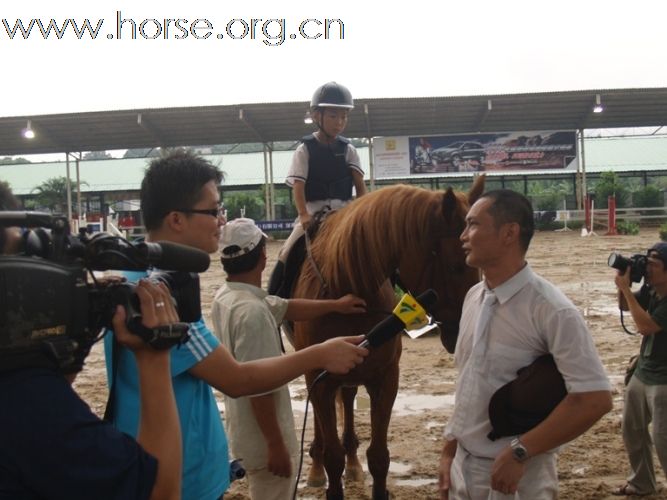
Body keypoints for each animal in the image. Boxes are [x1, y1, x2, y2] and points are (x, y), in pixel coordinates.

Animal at [292, 178, 486, 498]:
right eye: (456, 266)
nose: (461, 333)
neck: (350, 290)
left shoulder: (384, 379)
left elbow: (379, 456)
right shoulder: (320, 379)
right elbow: (333, 455)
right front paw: (326, 468)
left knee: (348, 401)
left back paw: (353, 463)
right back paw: (316, 467)